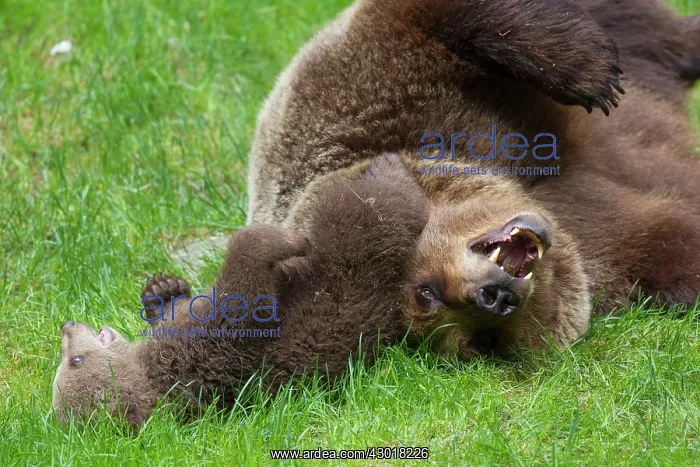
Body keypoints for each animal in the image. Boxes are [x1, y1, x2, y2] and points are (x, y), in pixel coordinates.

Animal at [52, 155, 429, 428]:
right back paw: (389, 167)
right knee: (382, 207)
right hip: (359, 245)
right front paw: (287, 240)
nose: (66, 325)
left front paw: (162, 289)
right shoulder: (207, 346)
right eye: (74, 361)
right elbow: (246, 292)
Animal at [246, 0, 700, 358]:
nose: (492, 298)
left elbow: (436, 19)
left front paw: (589, 73)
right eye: (484, 341)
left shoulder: (377, 92)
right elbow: (672, 252)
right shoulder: (619, 254)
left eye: (424, 289)